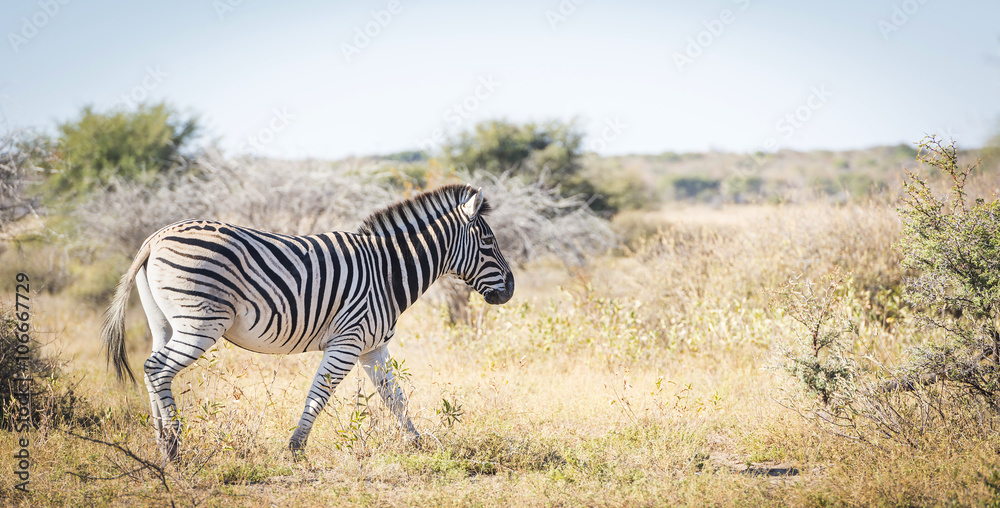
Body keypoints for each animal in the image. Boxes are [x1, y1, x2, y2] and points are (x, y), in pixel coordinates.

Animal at [101, 184, 514, 460]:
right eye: (488, 242)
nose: (510, 289)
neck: (386, 272)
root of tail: (156, 238)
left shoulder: (373, 346)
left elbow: (394, 397)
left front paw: (417, 443)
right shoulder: (348, 340)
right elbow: (320, 393)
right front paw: (296, 447)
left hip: (166, 324)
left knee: (151, 368)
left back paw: (161, 441)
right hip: (201, 323)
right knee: (158, 369)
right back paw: (173, 449)